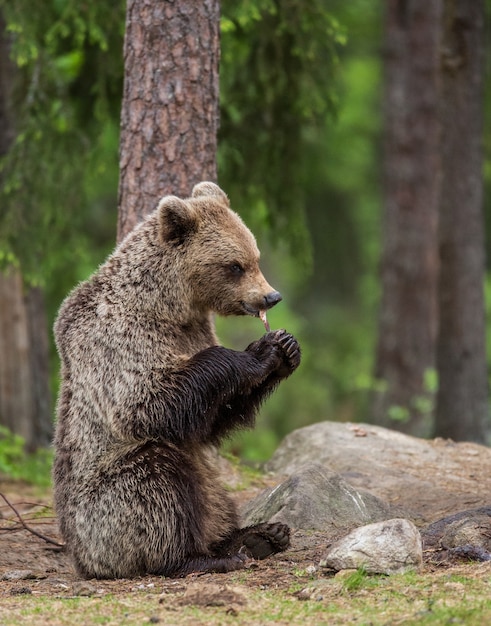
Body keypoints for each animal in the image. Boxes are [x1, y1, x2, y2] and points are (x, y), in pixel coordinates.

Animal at [52, 179, 300, 576]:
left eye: (256, 257)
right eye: (235, 265)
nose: (271, 296)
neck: (169, 308)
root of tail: (83, 559)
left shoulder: (195, 330)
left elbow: (210, 420)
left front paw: (285, 348)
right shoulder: (118, 339)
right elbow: (149, 401)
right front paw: (257, 353)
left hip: (211, 488)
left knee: (215, 500)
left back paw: (260, 535)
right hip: (103, 508)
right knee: (158, 482)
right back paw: (203, 557)